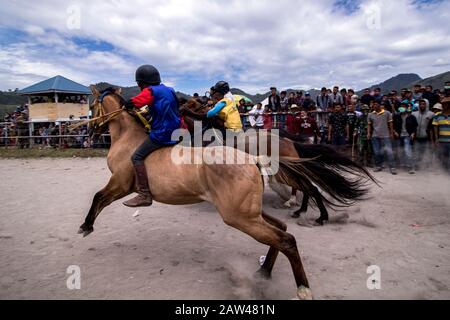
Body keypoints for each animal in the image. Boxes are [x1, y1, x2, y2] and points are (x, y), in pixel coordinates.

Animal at [80, 85, 312, 300]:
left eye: (93, 105)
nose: (90, 131)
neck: (128, 138)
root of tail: (253, 160)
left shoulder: (120, 183)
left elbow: (99, 197)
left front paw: (86, 226)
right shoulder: (121, 185)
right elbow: (100, 198)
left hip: (240, 217)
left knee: (286, 239)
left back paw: (302, 288)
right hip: (249, 213)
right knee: (281, 230)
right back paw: (263, 272)